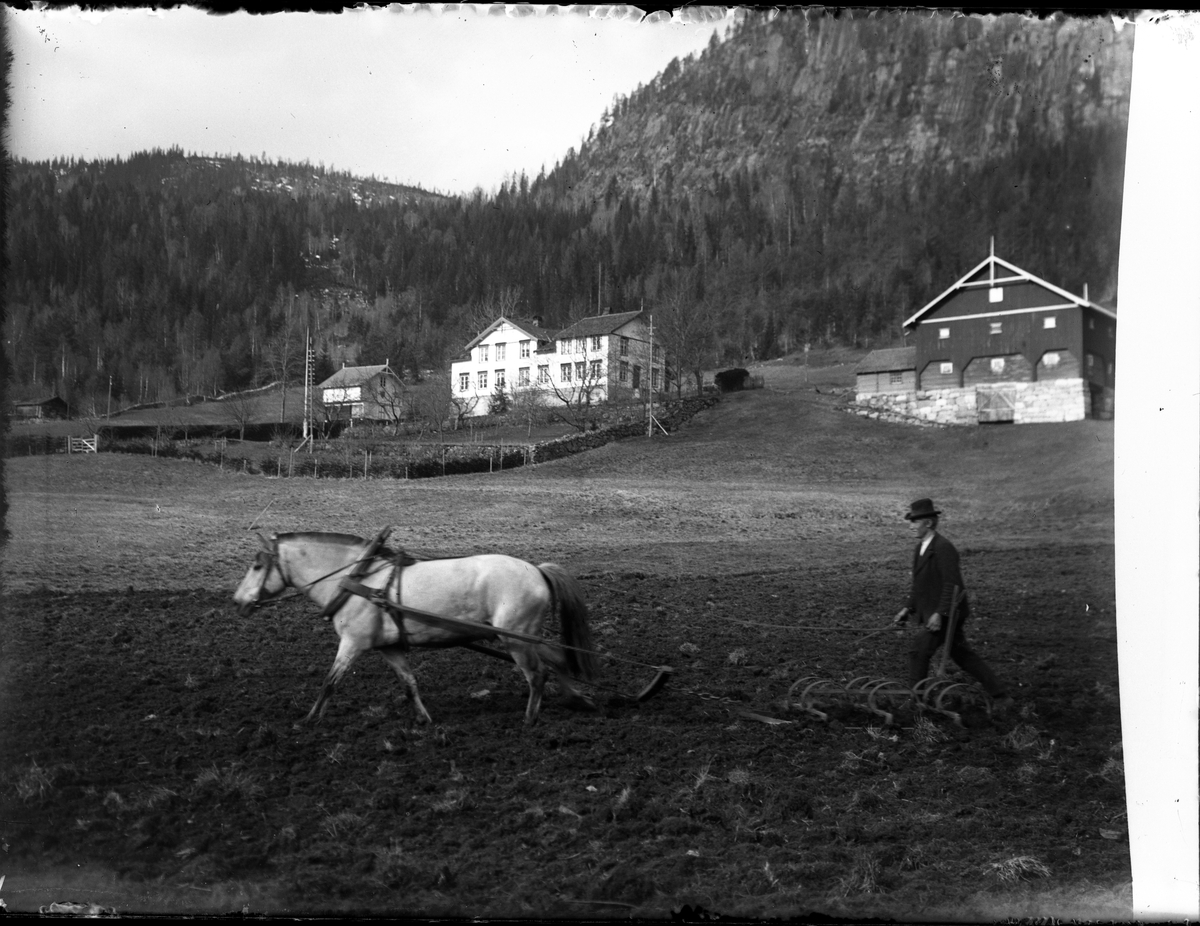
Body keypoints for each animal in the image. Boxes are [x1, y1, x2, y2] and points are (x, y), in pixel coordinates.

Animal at [231, 532, 597, 729]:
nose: (238, 601)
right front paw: (423, 719)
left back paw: (530, 719)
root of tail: (537, 569)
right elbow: (409, 683)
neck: (358, 580)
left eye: (258, 566)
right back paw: (577, 698)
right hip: (523, 637)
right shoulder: (389, 648)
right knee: (558, 659)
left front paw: (309, 720)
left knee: (537, 675)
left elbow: (329, 683)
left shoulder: (352, 643)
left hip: (515, 639)